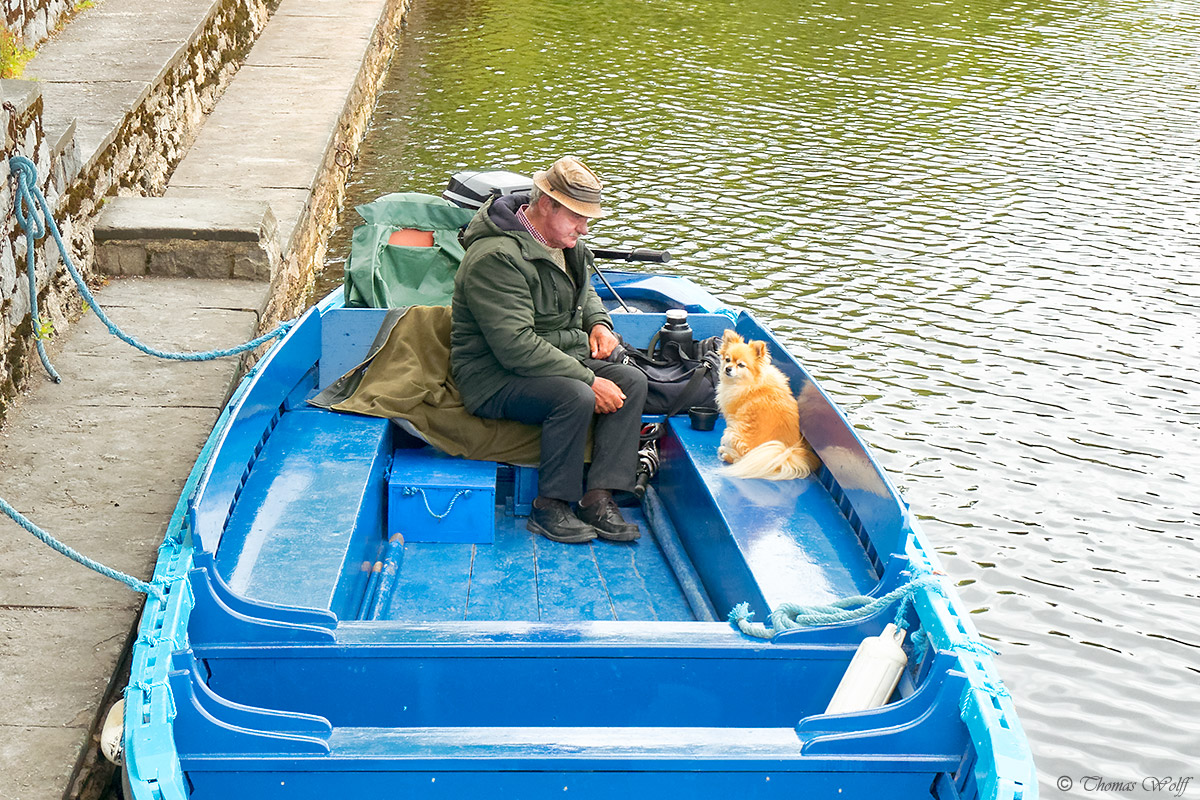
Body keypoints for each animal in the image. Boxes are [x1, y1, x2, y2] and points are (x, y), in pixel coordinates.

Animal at [715, 331, 820, 482]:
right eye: (727, 359)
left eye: (741, 365)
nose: (728, 369)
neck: (750, 382)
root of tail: (783, 457)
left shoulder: (732, 418)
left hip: (731, 433)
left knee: (741, 459)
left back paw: (727, 453)